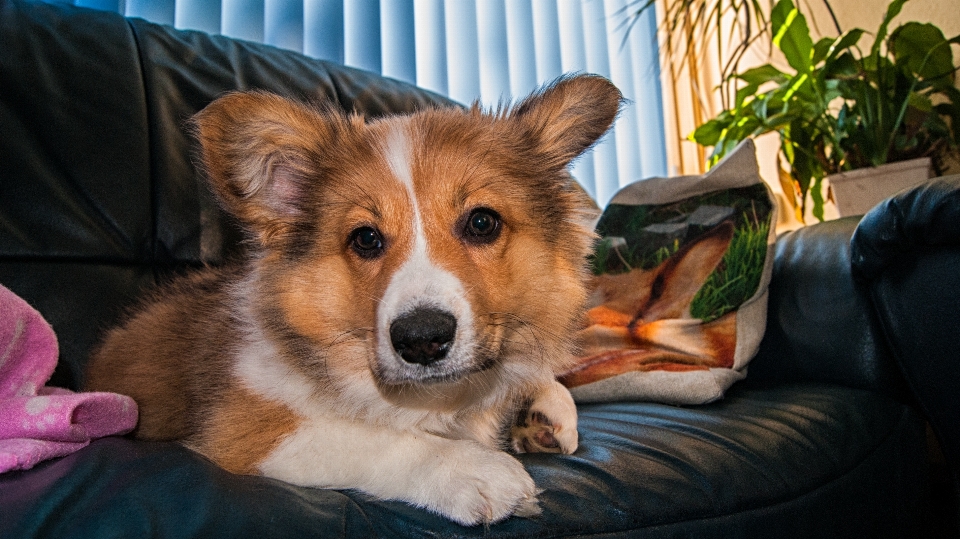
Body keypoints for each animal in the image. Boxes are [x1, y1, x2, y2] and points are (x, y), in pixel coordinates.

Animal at [82, 74, 624, 524]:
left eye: (482, 222)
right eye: (365, 238)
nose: (421, 341)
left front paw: (544, 411)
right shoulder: (249, 430)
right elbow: (373, 440)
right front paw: (475, 470)